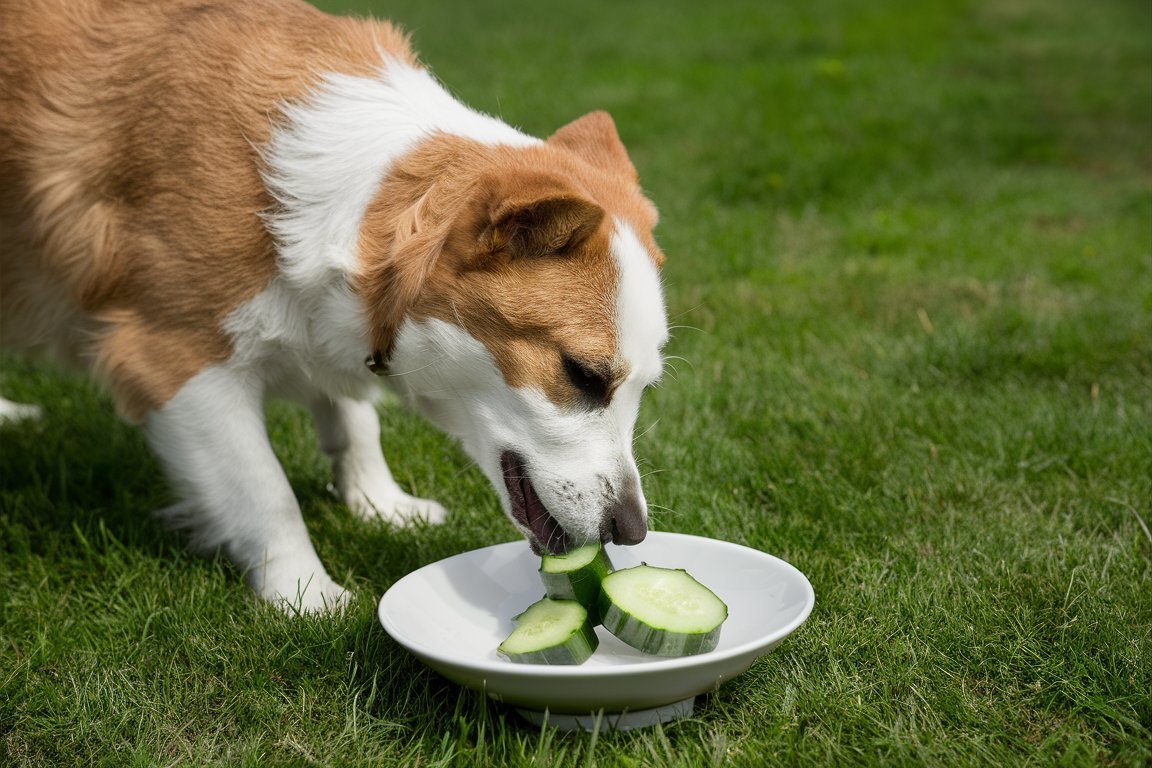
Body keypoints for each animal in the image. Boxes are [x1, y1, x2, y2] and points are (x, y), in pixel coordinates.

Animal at [0, 0, 672, 612]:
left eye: (646, 386)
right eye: (582, 375)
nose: (632, 531)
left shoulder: (334, 321)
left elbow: (354, 417)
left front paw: (378, 503)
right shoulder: (172, 358)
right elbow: (264, 490)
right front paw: (306, 595)